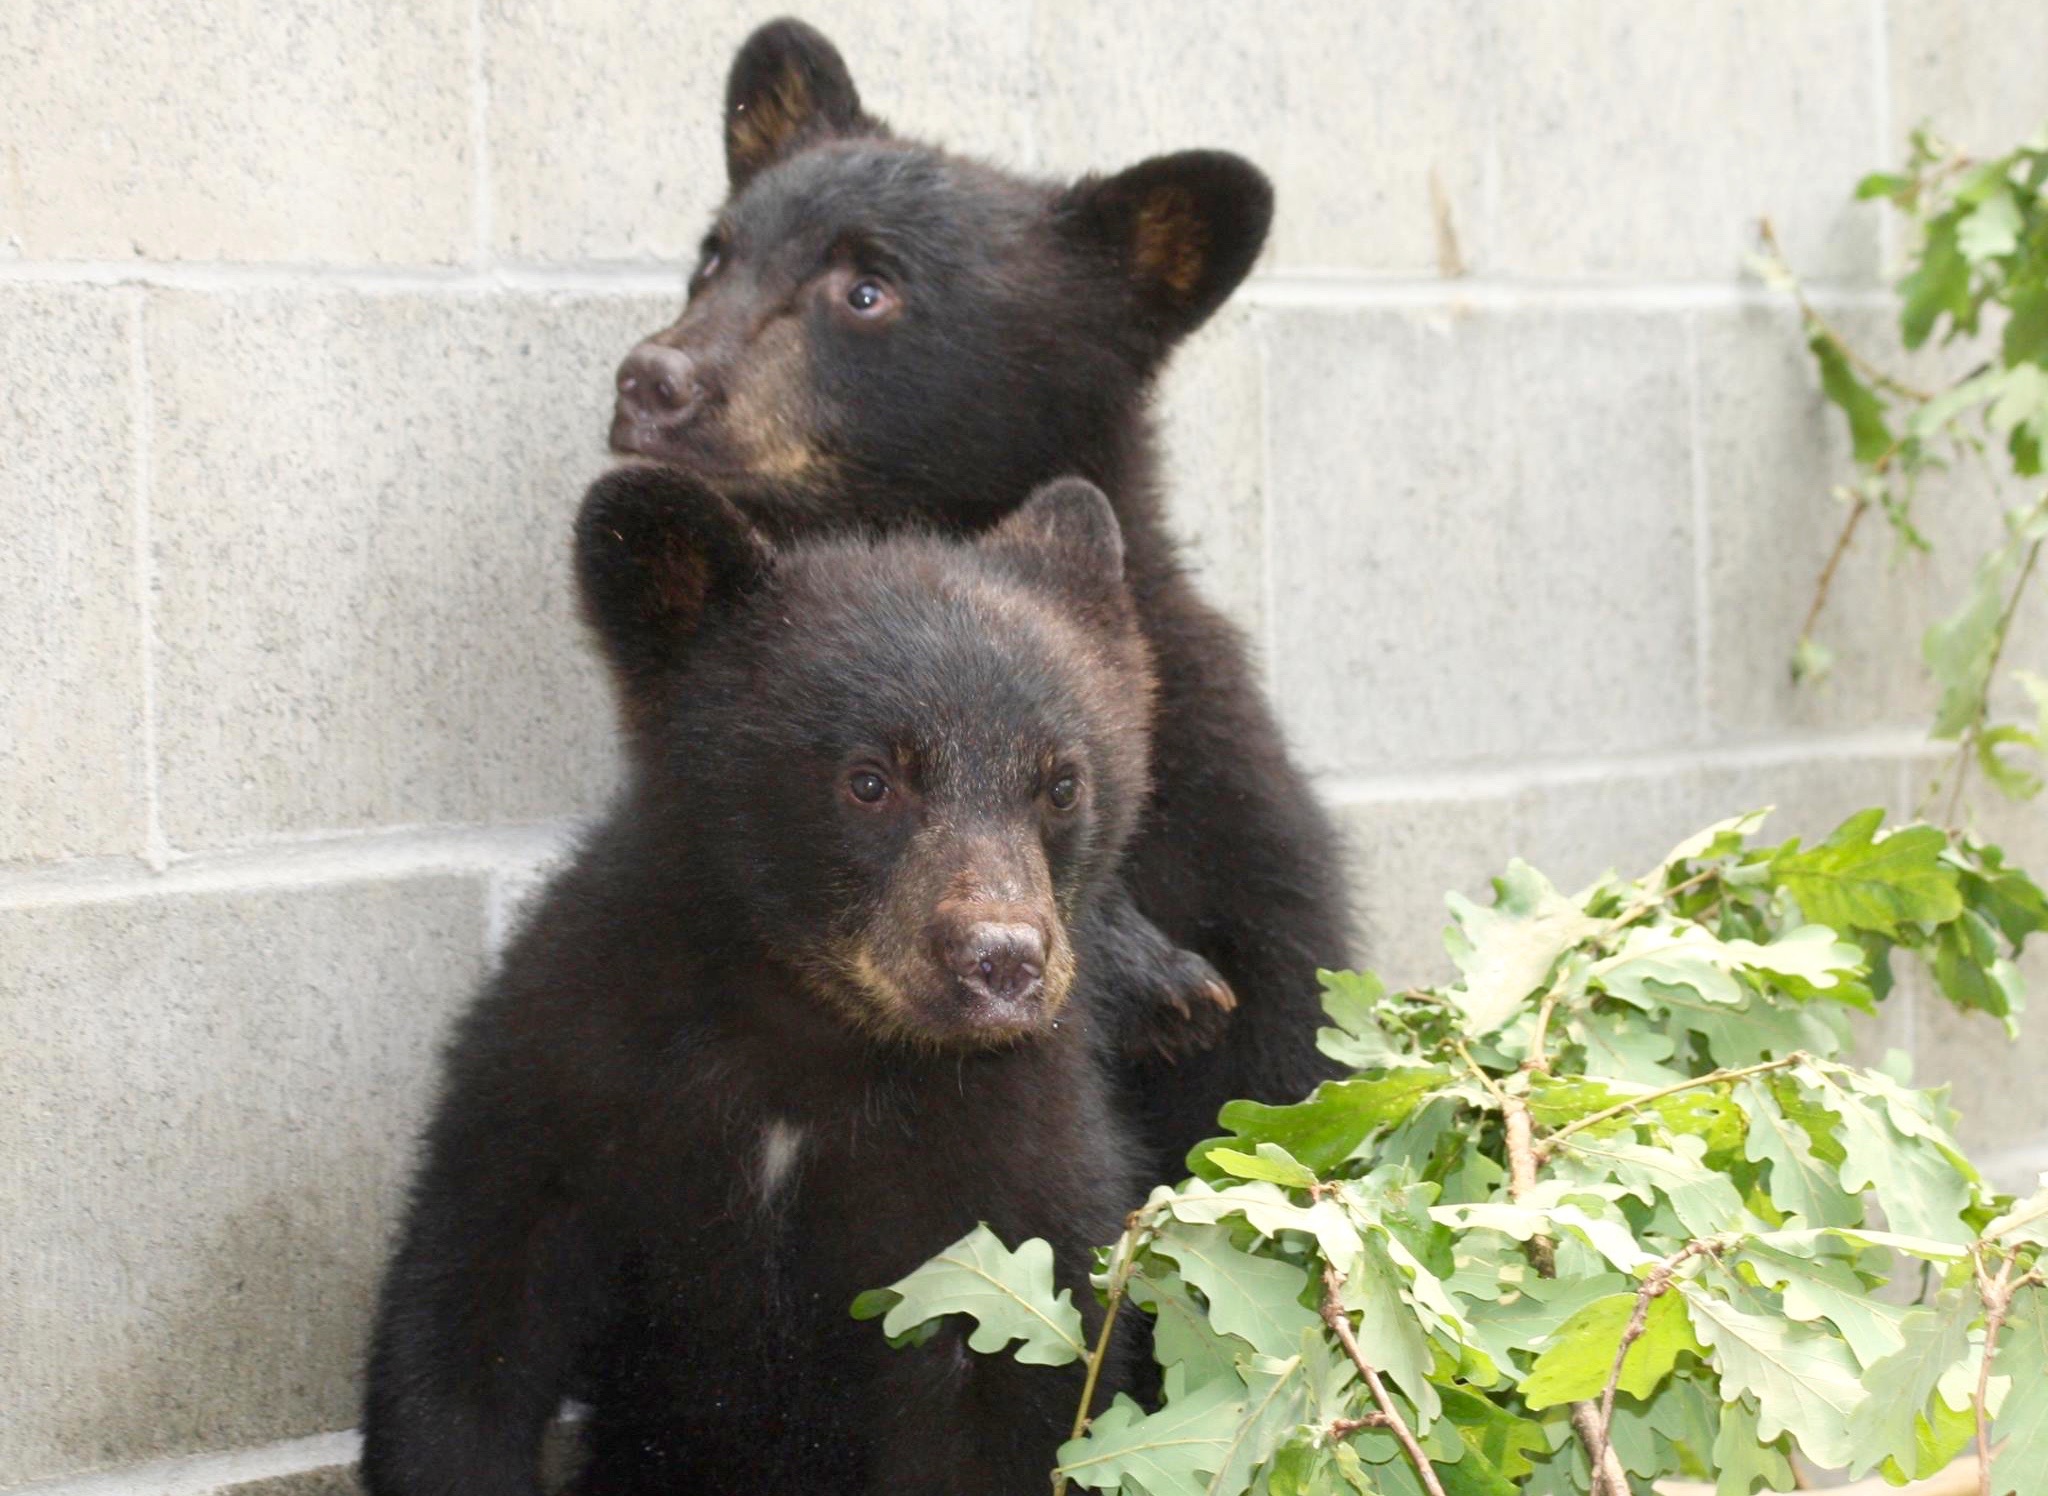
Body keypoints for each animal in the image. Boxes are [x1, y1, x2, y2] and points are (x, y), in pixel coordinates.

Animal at [360, 468, 1161, 1496]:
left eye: (1061, 785)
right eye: (870, 779)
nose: (1002, 961)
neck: (810, 1033)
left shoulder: (1007, 1159)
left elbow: (1006, 1399)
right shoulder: (573, 1066)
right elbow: (473, 1305)